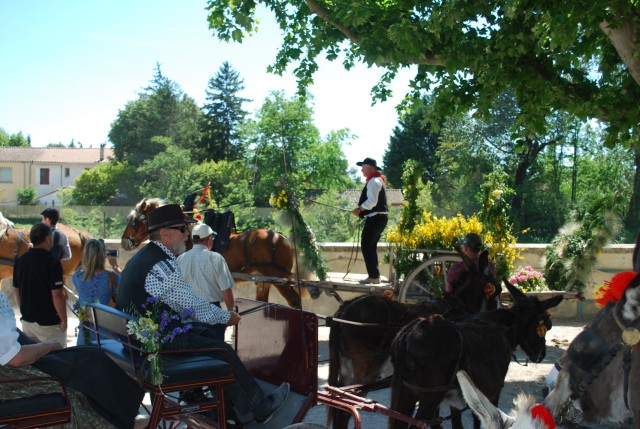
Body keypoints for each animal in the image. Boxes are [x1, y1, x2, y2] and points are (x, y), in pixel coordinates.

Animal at [121, 199, 302, 306]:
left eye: (134, 221)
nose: (124, 242)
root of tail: (281, 237)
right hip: (264, 280)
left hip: (278, 278)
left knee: (294, 301)